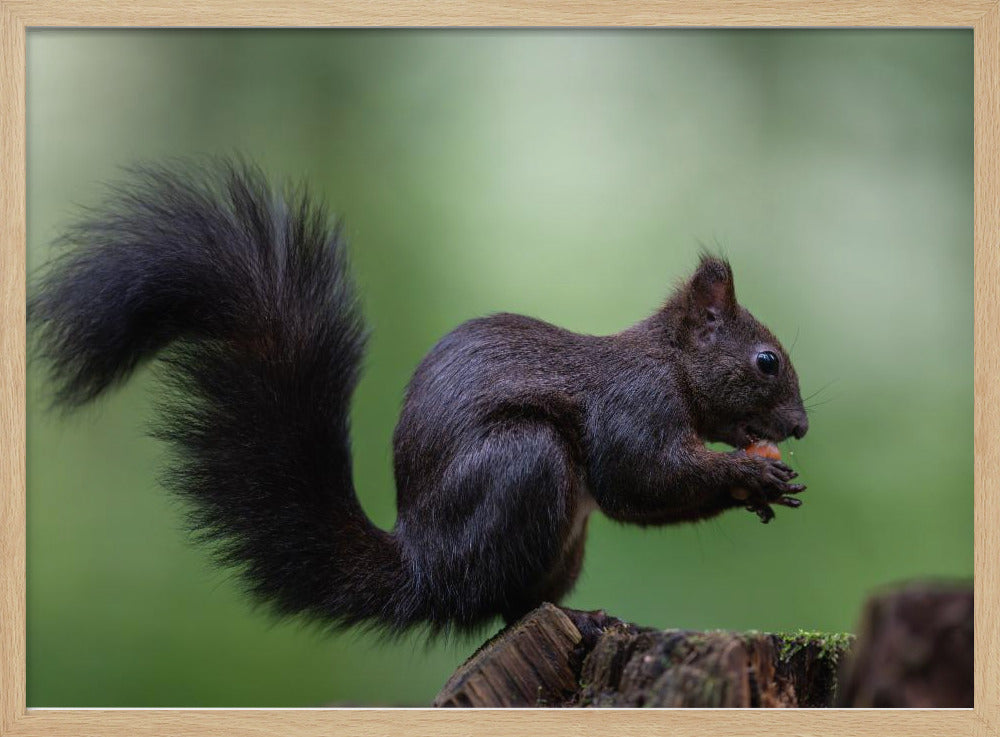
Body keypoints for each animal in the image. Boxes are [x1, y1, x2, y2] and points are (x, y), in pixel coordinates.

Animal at [30, 158, 808, 636]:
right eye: (766, 361)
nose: (800, 427)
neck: (668, 363)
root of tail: (424, 567)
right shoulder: (634, 403)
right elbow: (638, 477)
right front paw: (750, 472)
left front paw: (759, 486)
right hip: (525, 466)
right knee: (503, 602)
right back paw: (579, 620)